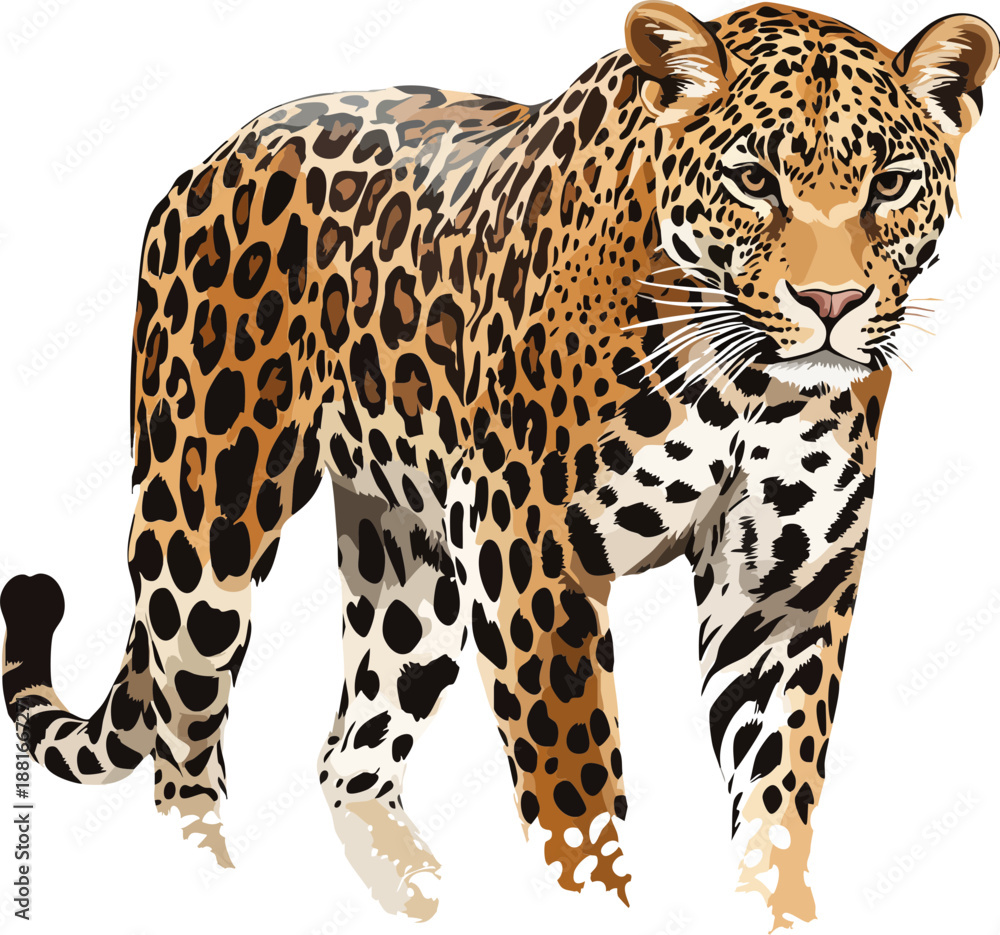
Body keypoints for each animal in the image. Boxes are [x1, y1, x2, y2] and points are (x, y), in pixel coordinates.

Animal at [2, 2, 996, 930]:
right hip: (205, 529)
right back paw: (213, 888)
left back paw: (423, 894)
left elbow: (776, 799)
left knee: (350, 756)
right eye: (753, 181)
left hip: (416, 572)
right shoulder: (535, 561)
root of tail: (212, 156)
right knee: (182, 748)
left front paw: (774, 905)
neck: (741, 377)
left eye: (891, 184)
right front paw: (595, 903)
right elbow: (578, 803)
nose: (832, 302)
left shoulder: (783, 589)